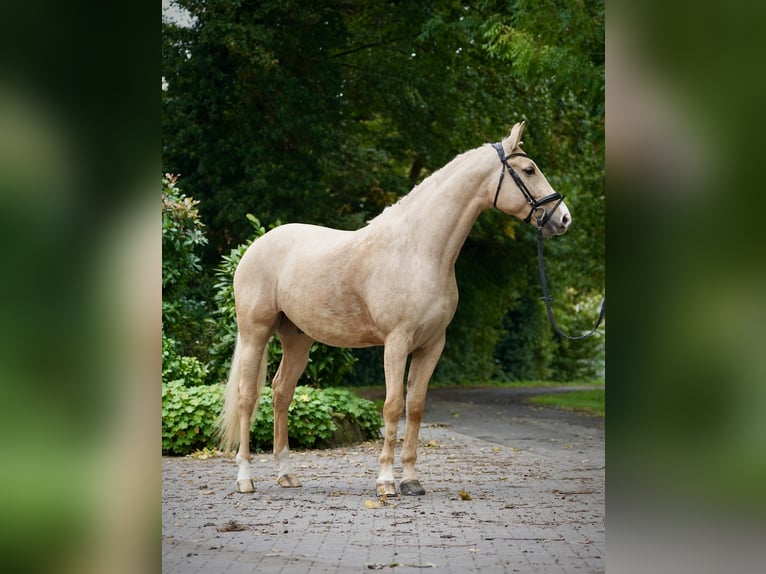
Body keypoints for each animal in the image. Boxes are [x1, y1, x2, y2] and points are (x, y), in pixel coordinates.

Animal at [217, 121, 571, 496]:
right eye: (529, 170)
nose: (563, 218)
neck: (419, 251)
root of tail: (256, 246)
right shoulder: (396, 343)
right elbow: (392, 406)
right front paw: (386, 481)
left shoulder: (432, 346)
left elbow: (414, 408)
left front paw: (411, 480)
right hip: (255, 333)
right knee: (247, 396)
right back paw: (245, 478)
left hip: (297, 338)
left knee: (282, 392)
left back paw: (286, 473)